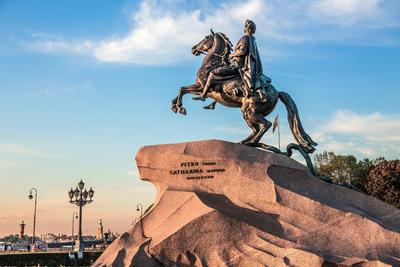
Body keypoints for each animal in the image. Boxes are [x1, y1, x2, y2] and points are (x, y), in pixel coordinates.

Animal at [172, 30, 318, 174]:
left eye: (206, 38)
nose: (193, 49)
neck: (213, 63)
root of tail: (277, 92)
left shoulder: (202, 87)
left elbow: (183, 89)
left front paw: (180, 108)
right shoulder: (202, 89)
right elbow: (181, 90)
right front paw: (175, 106)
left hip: (251, 111)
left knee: (266, 125)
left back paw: (250, 144)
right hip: (247, 113)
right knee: (256, 129)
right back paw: (244, 142)